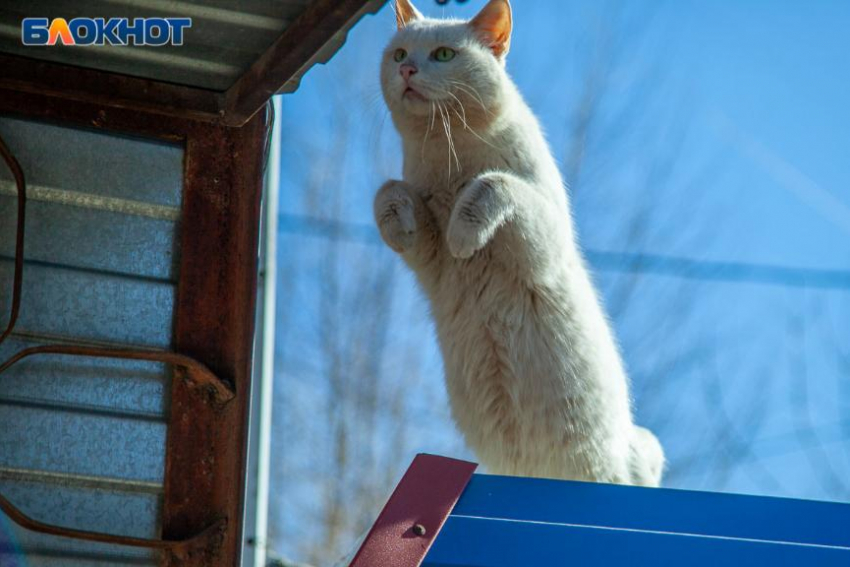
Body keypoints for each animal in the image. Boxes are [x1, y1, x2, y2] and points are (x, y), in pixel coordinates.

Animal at [376, 0, 664, 488]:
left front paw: (464, 235)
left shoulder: (540, 248)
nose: (408, 70)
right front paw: (399, 226)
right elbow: (389, 191)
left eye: (443, 55)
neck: (449, 153)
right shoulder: (430, 261)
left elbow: (493, 185)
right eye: (398, 54)